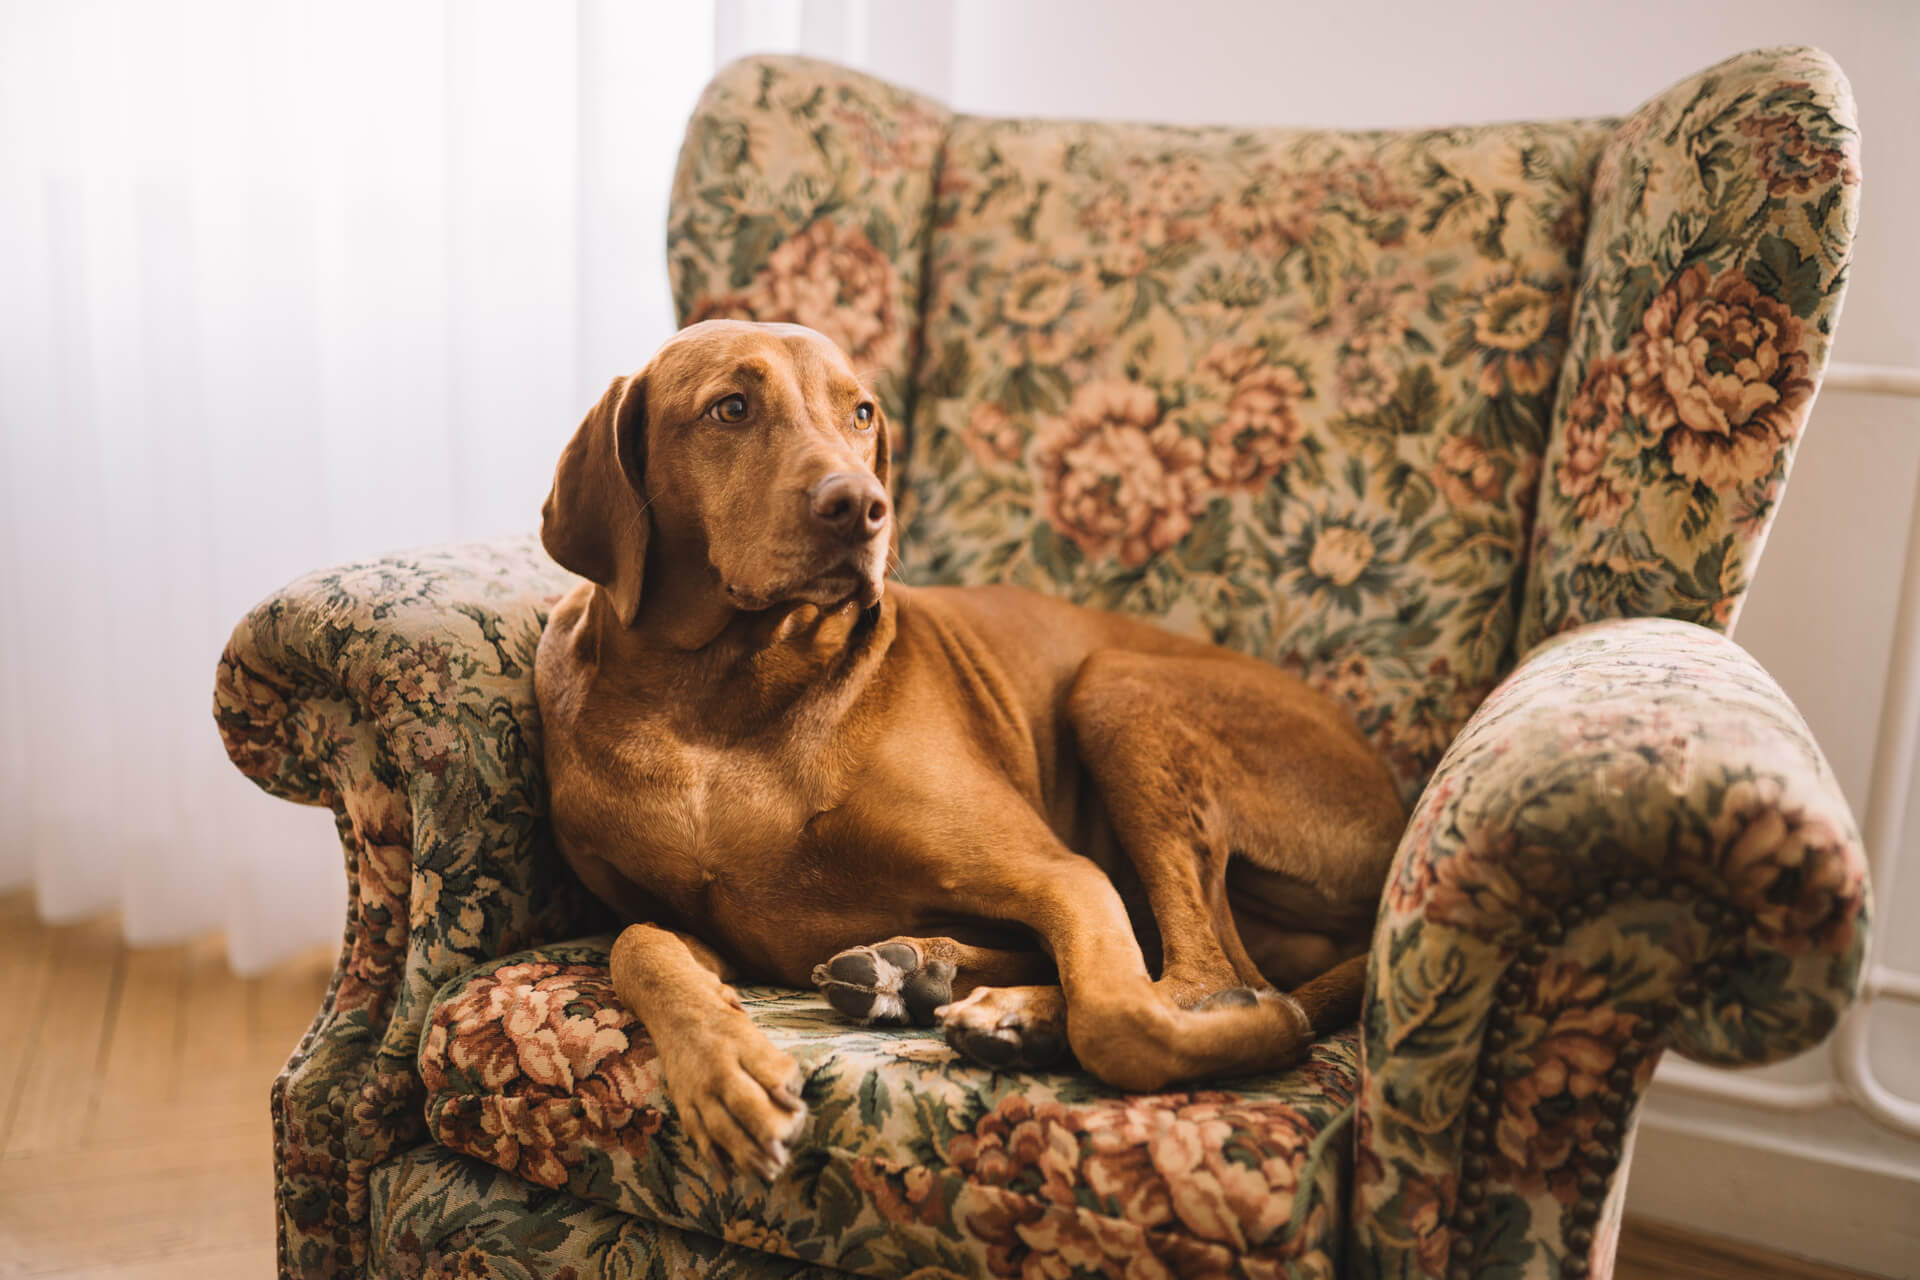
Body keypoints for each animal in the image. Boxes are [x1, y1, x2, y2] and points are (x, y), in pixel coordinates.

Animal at [533, 320, 1405, 1182]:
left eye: (861, 413)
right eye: (732, 408)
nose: (863, 506)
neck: (714, 702)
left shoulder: (1064, 875)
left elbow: (1122, 1018)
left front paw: (1258, 1030)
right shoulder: (696, 925)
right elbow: (638, 945)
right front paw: (724, 1065)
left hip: (1115, 686)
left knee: (1204, 981)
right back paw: (919, 976)